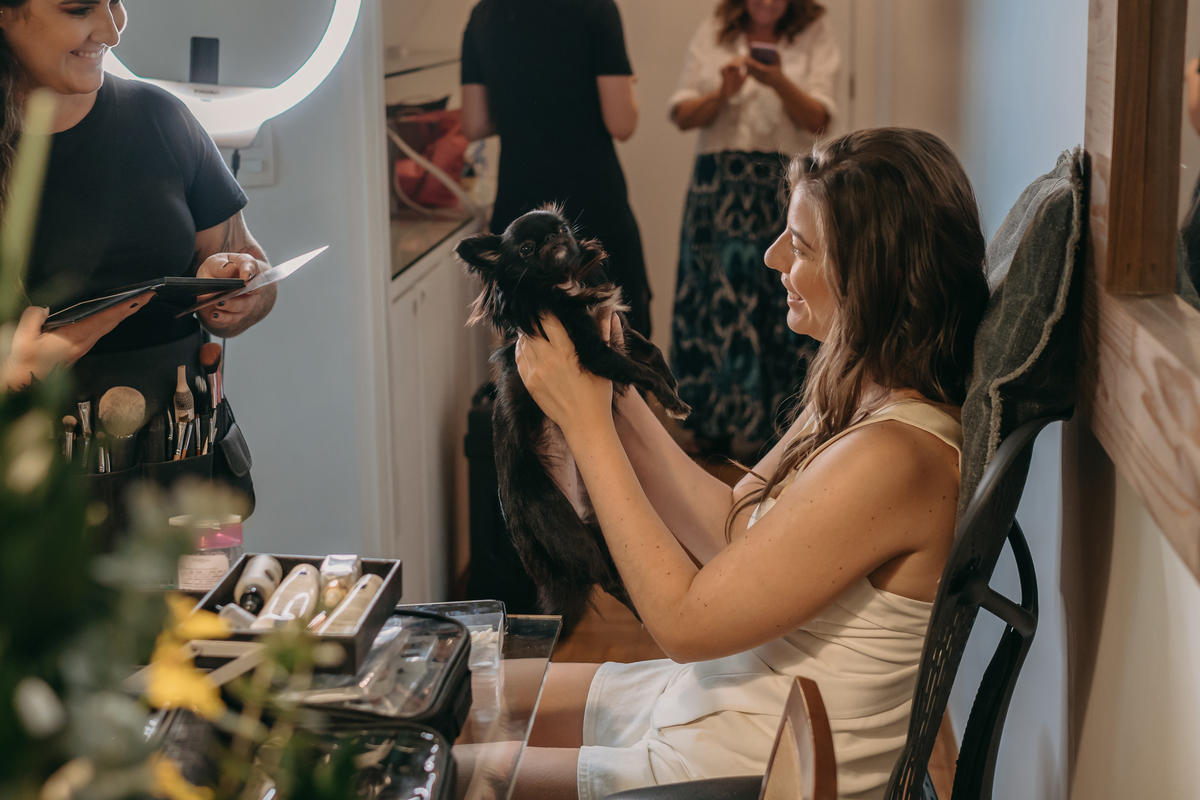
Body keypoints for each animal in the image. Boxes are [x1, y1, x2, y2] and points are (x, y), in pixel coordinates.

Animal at [456, 205, 690, 630]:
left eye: (561, 227)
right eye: (526, 248)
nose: (553, 239)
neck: (564, 282)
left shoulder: (617, 326)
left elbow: (652, 351)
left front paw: (672, 389)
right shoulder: (594, 351)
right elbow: (638, 369)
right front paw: (669, 398)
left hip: (603, 530)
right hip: (566, 528)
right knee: (609, 580)